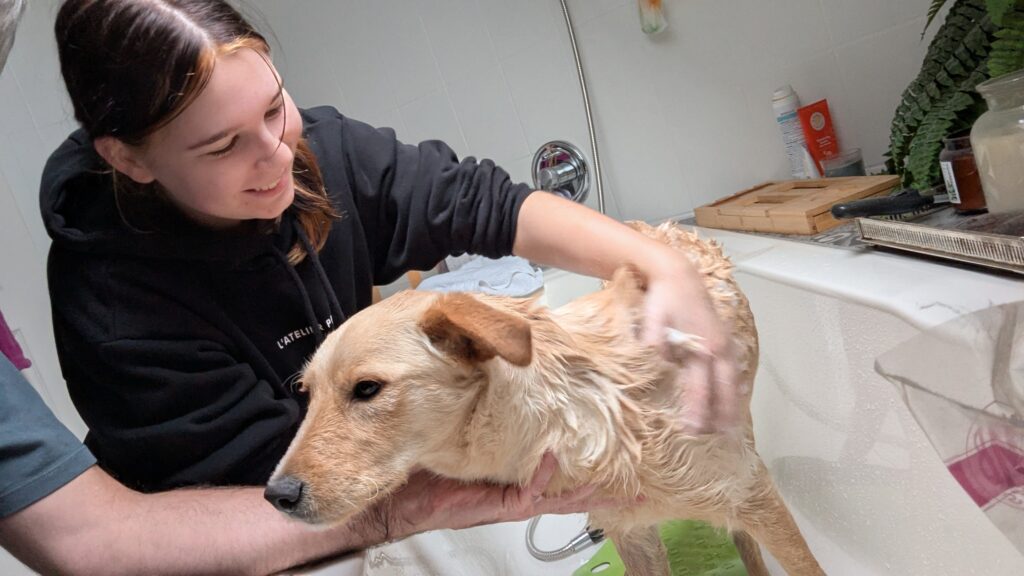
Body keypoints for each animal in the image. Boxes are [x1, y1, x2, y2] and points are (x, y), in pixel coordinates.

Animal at [267, 222, 824, 576]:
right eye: (306, 394)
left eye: (367, 389)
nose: (277, 496)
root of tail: (668, 226)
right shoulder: (633, 536)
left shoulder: (752, 492)